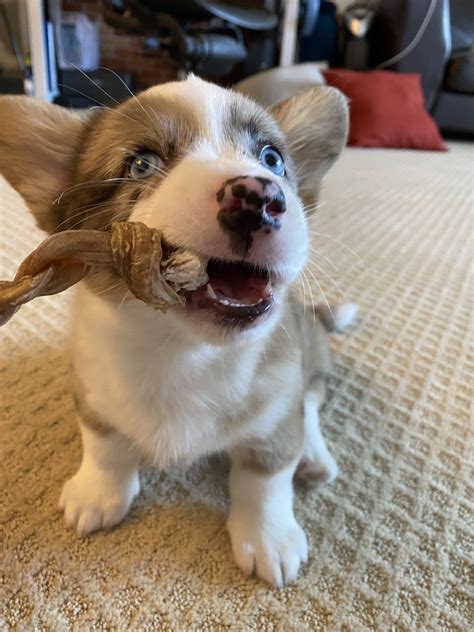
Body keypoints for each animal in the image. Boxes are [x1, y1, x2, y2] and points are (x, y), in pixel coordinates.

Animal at [0, 75, 354, 588]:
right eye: (141, 163)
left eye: (271, 158)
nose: (259, 197)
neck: (183, 351)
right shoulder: (91, 389)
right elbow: (104, 444)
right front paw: (97, 493)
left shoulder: (274, 415)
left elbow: (264, 478)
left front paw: (268, 538)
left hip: (310, 355)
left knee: (310, 402)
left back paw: (314, 454)